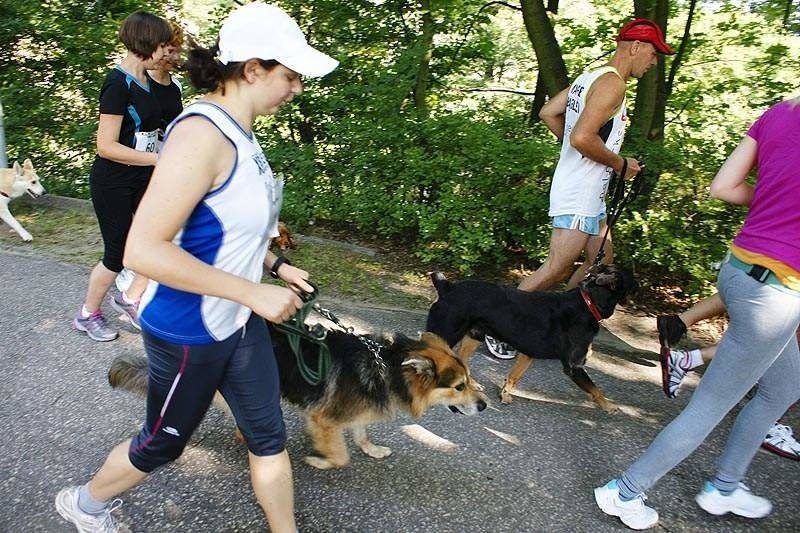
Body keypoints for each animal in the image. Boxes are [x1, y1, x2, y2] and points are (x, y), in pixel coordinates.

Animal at [108, 326, 484, 468]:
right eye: (459, 387)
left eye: (469, 379)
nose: (483, 404)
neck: (388, 366)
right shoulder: (323, 419)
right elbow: (341, 455)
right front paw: (321, 460)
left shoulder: (354, 413)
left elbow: (361, 434)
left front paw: (372, 449)